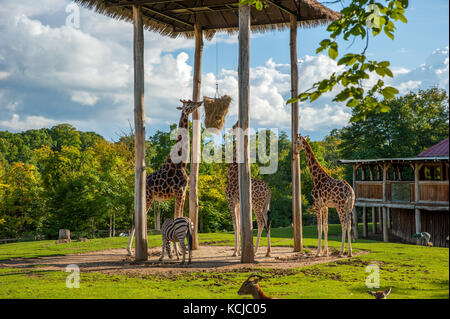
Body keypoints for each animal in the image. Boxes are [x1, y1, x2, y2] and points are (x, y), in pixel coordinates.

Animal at [127, 99, 203, 256]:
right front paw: (177, 250)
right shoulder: (180, 191)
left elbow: (178, 215)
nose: (200, 102)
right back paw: (130, 251)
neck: (181, 162)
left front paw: (175, 249)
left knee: (139, 218)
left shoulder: (183, 192)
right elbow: (176, 216)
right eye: (189, 103)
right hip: (148, 197)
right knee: (138, 219)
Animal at [225, 121, 270, 258]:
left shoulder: (230, 201)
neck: (232, 174)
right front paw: (239, 251)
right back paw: (268, 251)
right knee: (268, 221)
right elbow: (240, 225)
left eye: (234, 126)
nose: (229, 130)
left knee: (261, 222)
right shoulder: (238, 203)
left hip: (256, 204)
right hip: (265, 205)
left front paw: (235, 252)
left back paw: (255, 251)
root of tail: (268, 191)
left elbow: (235, 225)